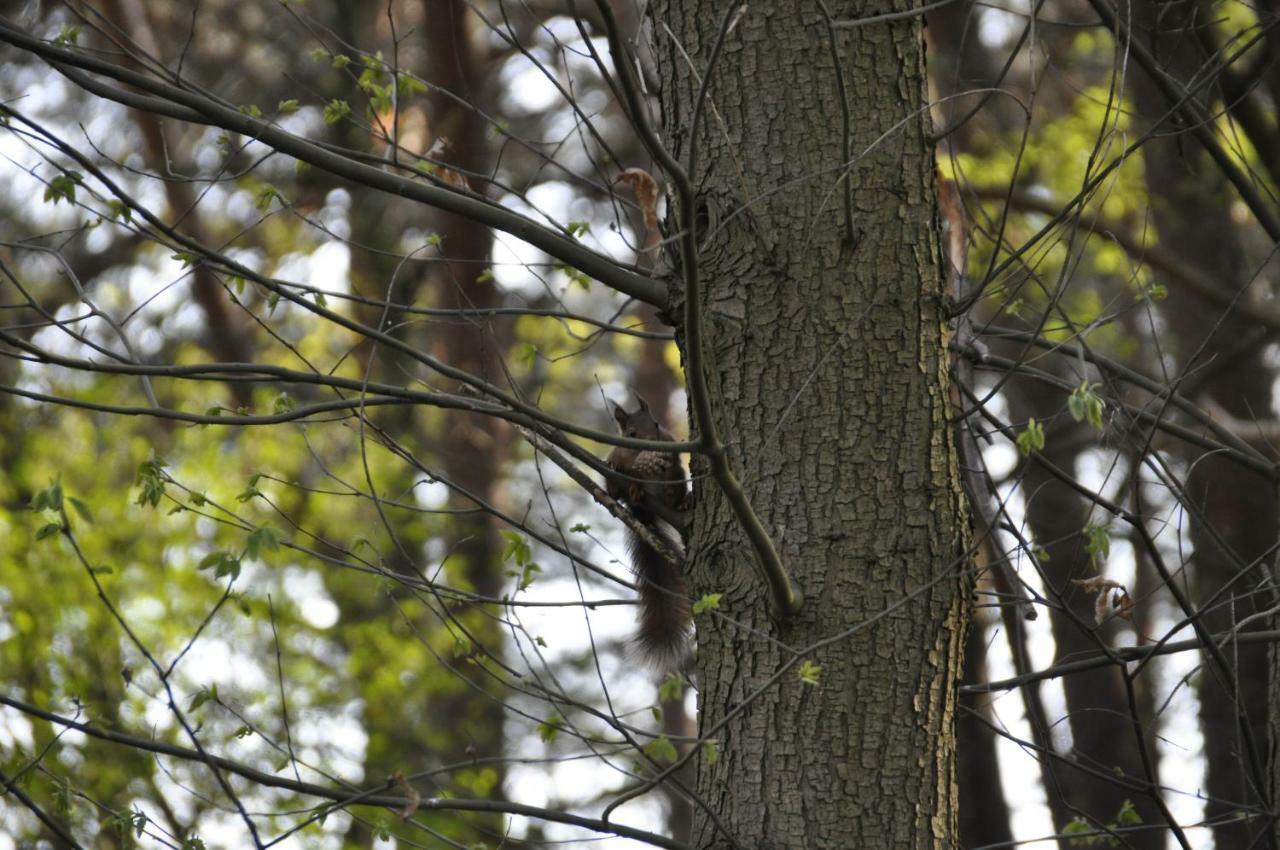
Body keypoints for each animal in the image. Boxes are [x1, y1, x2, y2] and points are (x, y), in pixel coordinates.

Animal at [606, 399, 691, 670]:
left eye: (656, 424)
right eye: (631, 433)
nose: (654, 442)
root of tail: (645, 516)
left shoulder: (671, 450)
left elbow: (671, 462)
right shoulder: (617, 454)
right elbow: (624, 469)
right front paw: (630, 481)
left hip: (677, 481)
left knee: (675, 485)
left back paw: (678, 500)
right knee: (613, 492)